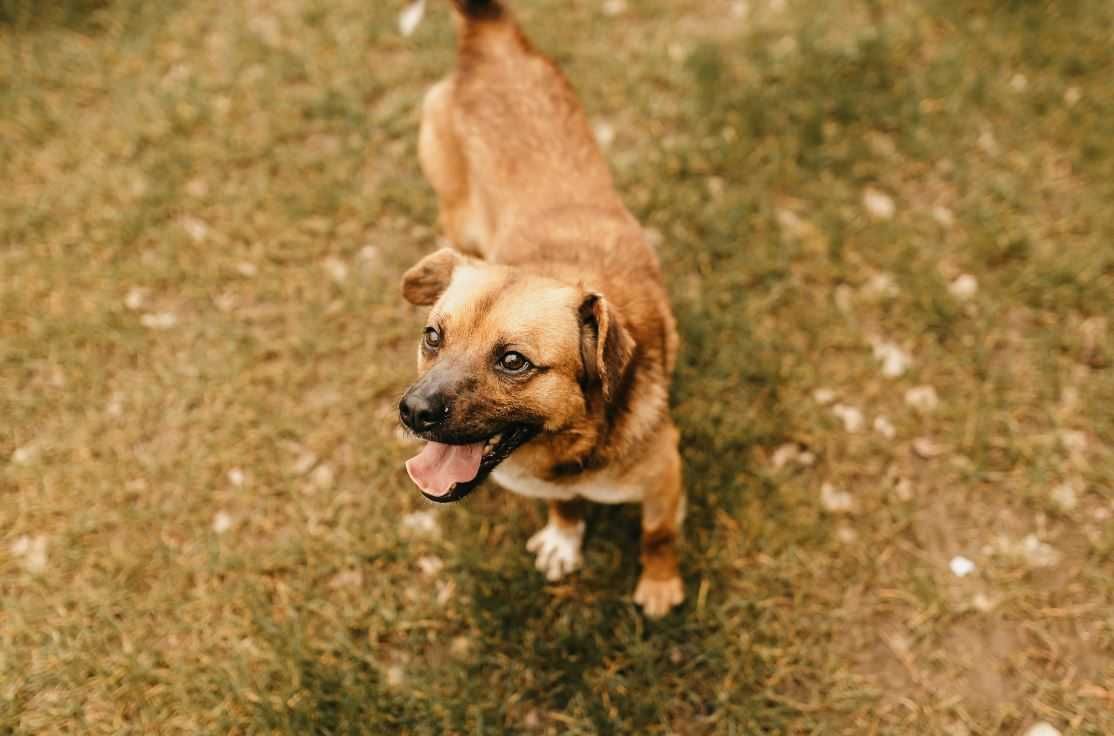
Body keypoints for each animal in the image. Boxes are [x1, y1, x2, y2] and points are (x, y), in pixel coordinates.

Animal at [396, 0, 681, 619]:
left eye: (514, 362)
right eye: (433, 336)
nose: (412, 412)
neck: (569, 445)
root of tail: (488, 36)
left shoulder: (666, 474)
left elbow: (658, 535)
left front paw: (660, 584)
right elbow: (565, 506)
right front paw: (564, 535)